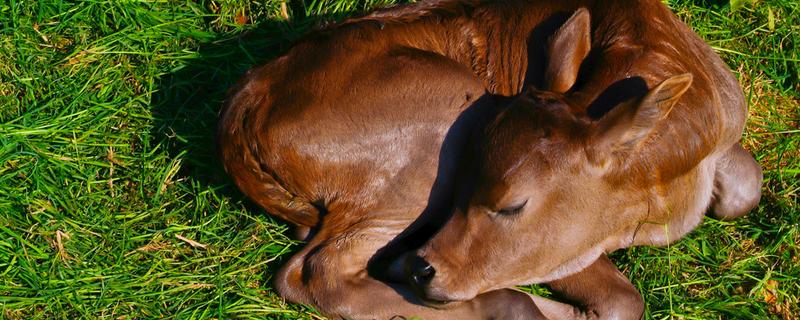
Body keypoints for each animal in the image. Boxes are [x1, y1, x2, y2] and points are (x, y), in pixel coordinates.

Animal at [217, 1, 764, 318]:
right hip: (434, 132)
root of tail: (249, 94)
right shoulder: (562, 246)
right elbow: (620, 302)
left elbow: (747, 186)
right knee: (317, 275)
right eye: (467, 184)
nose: (423, 269)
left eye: (511, 206)